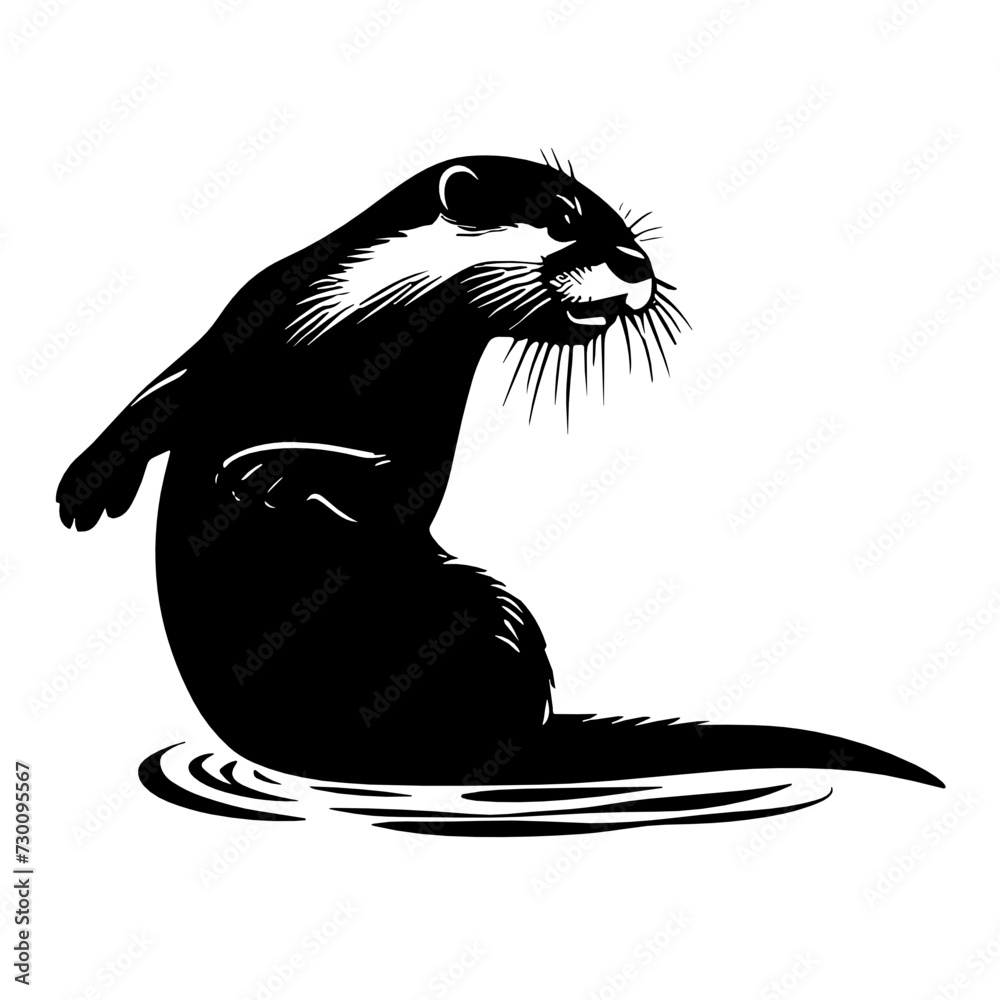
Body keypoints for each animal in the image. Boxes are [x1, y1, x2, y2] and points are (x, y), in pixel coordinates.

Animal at [57, 155, 941, 793]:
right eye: (564, 220)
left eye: (626, 227)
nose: (635, 262)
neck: (349, 346)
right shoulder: (251, 318)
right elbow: (161, 396)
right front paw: (85, 490)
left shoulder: (430, 420)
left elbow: (406, 489)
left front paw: (274, 469)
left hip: (485, 616)